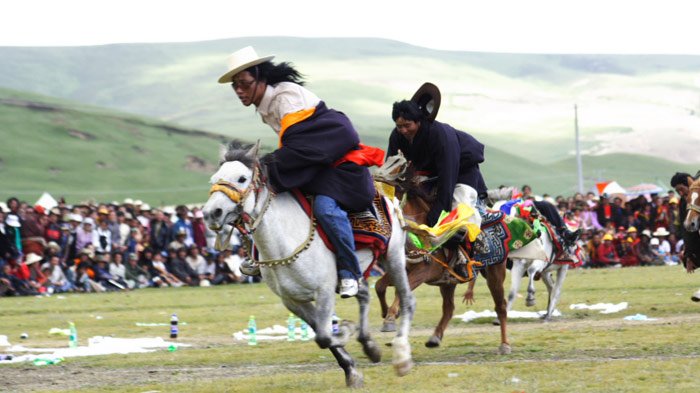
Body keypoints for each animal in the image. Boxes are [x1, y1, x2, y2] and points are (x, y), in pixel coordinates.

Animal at [200, 141, 412, 386]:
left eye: (242, 178)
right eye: (214, 179)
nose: (212, 213)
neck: (284, 240)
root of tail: (384, 191)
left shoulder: (324, 292)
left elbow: (324, 336)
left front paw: (345, 331)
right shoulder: (292, 300)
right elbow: (322, 336)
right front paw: (351, 369)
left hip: (394, 257)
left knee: (407, 300)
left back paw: (402, 357)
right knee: (364, 294)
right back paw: (369, 346)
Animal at [374, 152, 512, 352]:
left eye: (400, 167)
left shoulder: (422, 271)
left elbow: (401, 292)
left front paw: (391, 317)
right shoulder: (399, 269)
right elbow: (379, 286)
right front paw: (387, 314)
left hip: (495, 274)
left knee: (501, 306)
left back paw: (504, 344)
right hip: (447, 282)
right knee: (449, 308)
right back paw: (434, 338)